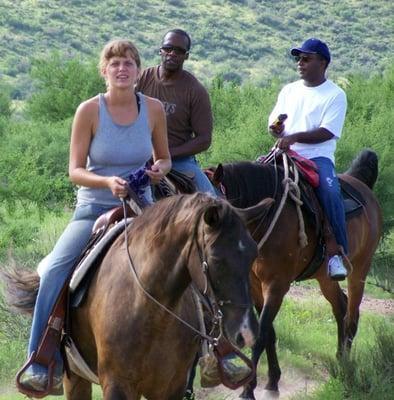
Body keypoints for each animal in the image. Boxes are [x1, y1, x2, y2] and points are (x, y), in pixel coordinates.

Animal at [3, 192, 278, 398]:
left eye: (253, 255)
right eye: (217, 259)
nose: (246, 332)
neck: (151, 310)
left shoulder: (172, 386)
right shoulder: (117, 385)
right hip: (75, 378)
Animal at [209, 151, 384, 400]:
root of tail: (360, 184)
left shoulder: (276, 285)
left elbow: (260, 335)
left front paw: (247, 390)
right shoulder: (254, 286)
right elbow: (268, 333)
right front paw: (272, 381)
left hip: (360, 269)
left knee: (351, 317)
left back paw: (346, 370)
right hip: (324, 277)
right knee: (341, 307)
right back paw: (339, 361)